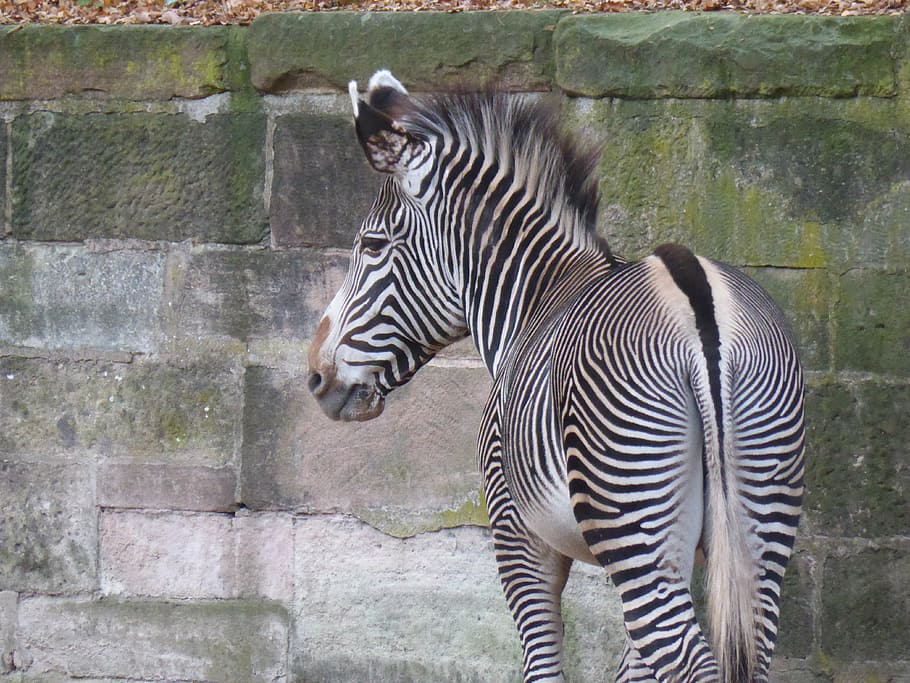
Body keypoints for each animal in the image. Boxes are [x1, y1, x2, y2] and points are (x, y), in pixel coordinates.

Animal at [307, 70, 805, 683]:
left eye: (372, 244)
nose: (316, 375)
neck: (535, 300)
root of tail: (697, 296)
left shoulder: (517, 534)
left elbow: (542, 663)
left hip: (635, 522)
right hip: (760, 526)